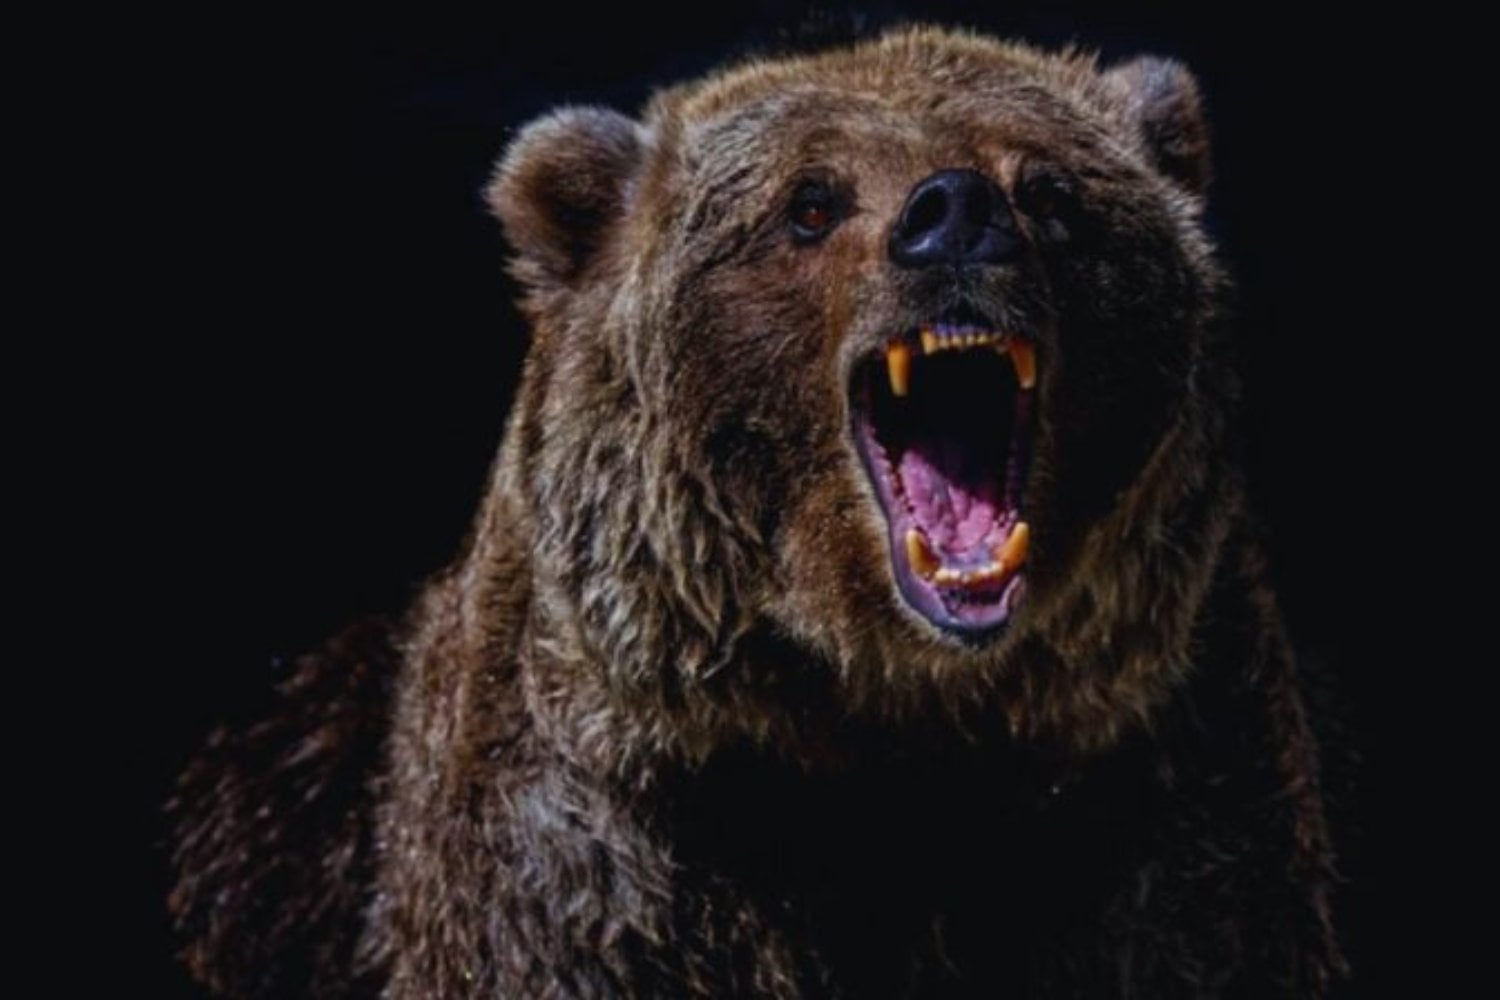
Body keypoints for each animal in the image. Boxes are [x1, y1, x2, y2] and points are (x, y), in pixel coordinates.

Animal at [168, 25, 1346, 998]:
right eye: (811, 202)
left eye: (1051, 190)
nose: (956, 213)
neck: (888, 713)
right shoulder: (602, 855)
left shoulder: (1163, 807)